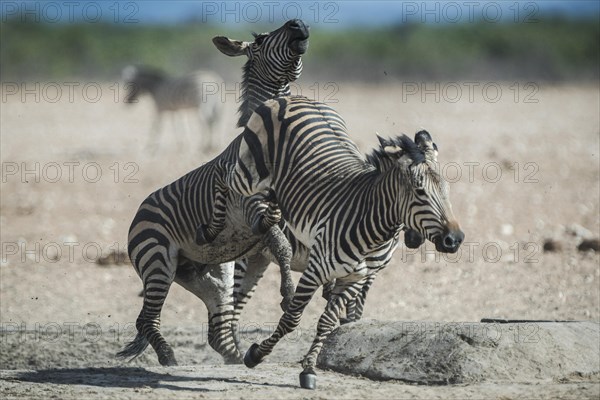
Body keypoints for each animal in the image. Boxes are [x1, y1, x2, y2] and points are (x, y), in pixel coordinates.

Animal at [118, 20, 314, 368]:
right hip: (158, 261)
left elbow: (284, 243)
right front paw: (290, 296)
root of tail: (138, 213)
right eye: (260, 41)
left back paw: (235, 356)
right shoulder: (250, 205)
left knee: (215, 320)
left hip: (199, 272)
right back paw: (169, 357)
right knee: (147, 319)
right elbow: (281, 246)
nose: (298, 24)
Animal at [218, 96, 466, 388]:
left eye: (446, 189)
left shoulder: (356, 277)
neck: (375, 227)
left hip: (260, 252)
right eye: (419, 192)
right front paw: (256, 354)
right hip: (248, 174)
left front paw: (309, 369)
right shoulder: (316, 270)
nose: (455, 240)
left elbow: (329, 321)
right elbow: (293, 318)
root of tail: (292, 98)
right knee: (229, 179)